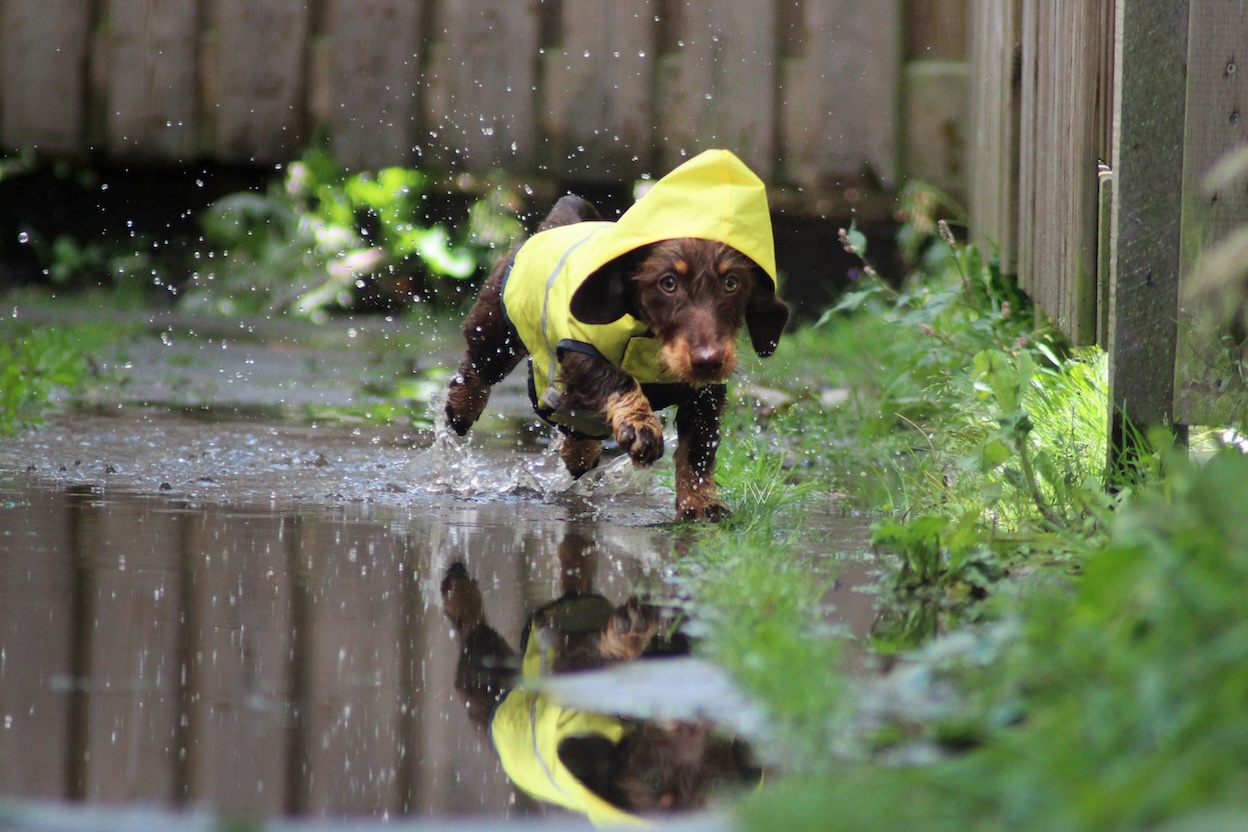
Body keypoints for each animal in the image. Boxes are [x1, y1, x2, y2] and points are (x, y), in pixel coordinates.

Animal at [444, 146, 783, 516]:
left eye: (731, 283)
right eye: (668, 283)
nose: (709, 361)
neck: (651, 341)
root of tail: (562, 219)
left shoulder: (704, 393)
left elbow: (697, 449)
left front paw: (700, 503)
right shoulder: (580, 348)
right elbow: (615, 379)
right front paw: (640, 424)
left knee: (574, 423)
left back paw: (579, 452)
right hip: (496, 330)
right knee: (477, 367)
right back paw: (461, 409)